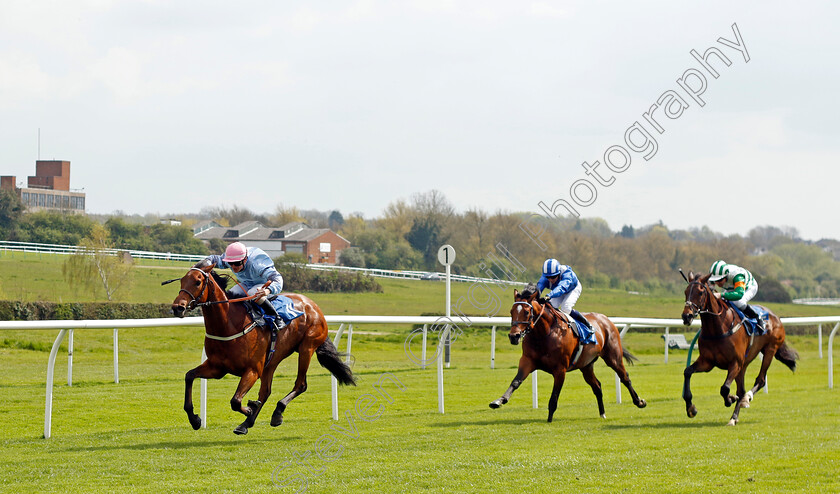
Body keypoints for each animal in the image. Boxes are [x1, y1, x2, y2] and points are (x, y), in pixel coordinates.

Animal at [169, 260, 356, 434]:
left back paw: (277, 412)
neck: (229, 324)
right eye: (182, 280)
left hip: (306, 348)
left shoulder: (252, 370)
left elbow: (236, 401)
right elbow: (189, 376)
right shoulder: (217, 368)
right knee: (265, 391)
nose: (178, 307)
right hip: (272, 360)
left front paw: (249, 408)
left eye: (197, 282)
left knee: (300, 384)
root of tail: (312, 305)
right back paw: (246, 424)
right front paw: (195, 419)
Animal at [488, 286, 648, 420]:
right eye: (512, 312)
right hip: (586, 365)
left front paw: (549, 419)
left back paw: (639, 401)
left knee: (624, 377)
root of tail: (606, 320)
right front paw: (499, 401)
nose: (513, 336)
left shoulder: (560, 369)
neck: (544, 334)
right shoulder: (528, 361)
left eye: (527, 312)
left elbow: (554, 396)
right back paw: (602, 413)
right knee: (597, 386)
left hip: (613, 357)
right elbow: (516, 381)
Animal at [680, 272, 796, 426]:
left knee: (760, 380)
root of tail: (775, 316)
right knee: (741, 389)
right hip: (744, 365)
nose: (686, 316)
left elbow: (724, 388)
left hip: (769, 351)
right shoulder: (707, 362)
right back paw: (734, 416)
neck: (718, 328)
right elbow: (687, 372)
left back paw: (746, 399)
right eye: (686, 292)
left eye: (700, 292)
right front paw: (691, 408)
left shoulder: (735, 362)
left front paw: (730, 399)